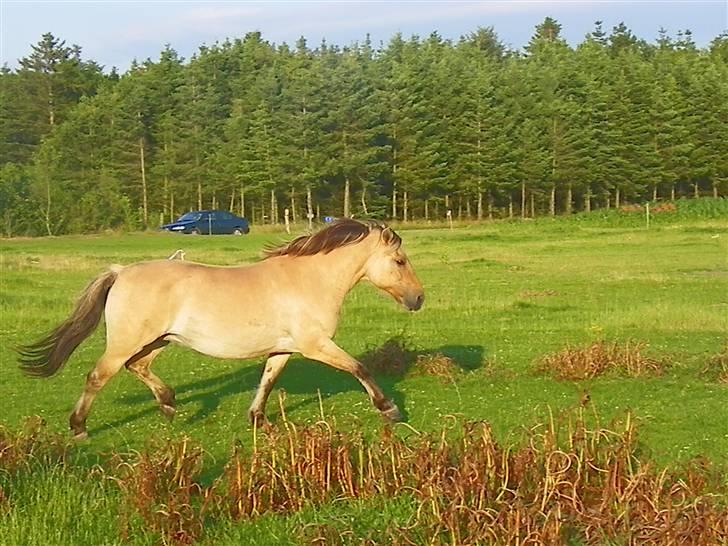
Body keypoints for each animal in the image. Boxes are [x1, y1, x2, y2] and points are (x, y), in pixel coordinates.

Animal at [17, 219, 425, 440]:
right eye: (399, 261)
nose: (418, 299)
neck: (309, 280)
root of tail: (120, 272)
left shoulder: (284, 348)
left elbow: (268, 381)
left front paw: (258, 420)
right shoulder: (316, 345)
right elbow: (360, 368)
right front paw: (390, 409)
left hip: (157, 341)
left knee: (138, 367)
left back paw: (169, 406)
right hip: (127, 341)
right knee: (98, 376)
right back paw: (79, 428)